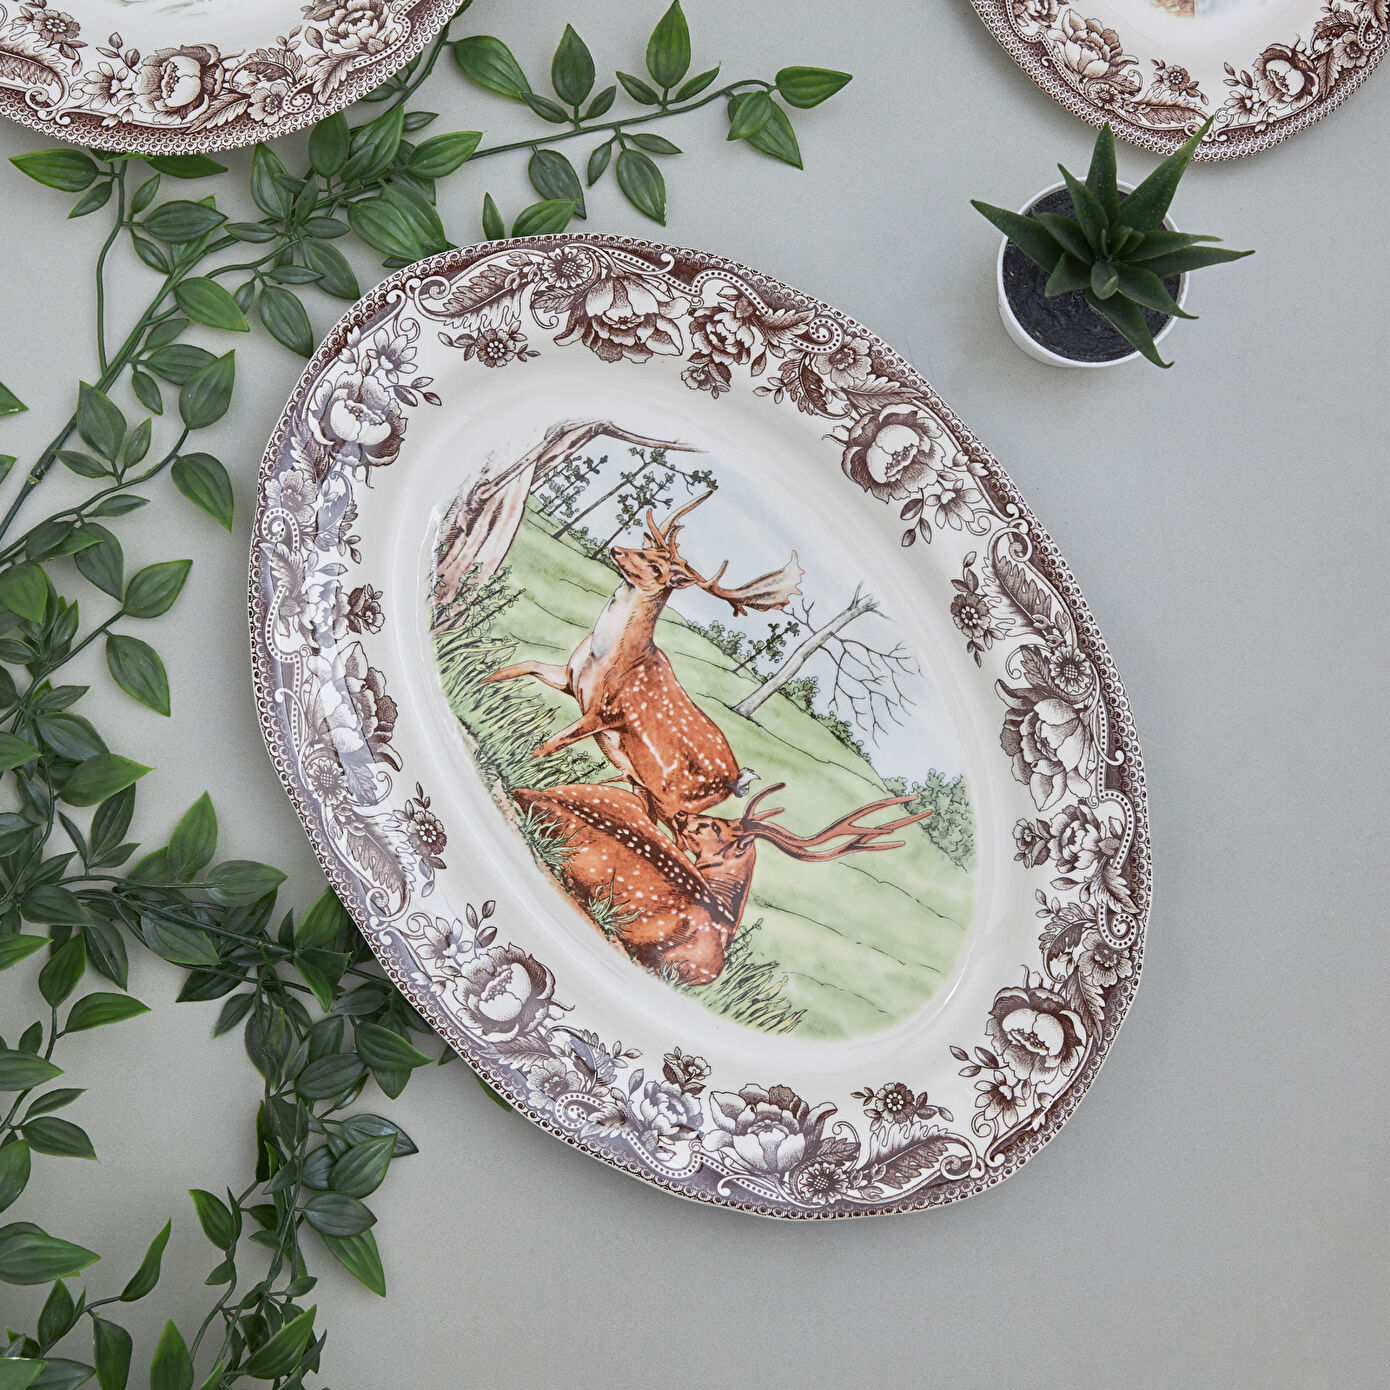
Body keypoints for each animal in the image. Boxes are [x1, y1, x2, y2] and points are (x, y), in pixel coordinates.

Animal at [486, 492, 804, 848]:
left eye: (655, 567)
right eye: (649, 549)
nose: (618, 550)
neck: (609, 658)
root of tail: (735, 781)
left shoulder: (605, 712)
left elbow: (547, 746)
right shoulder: (570, 679)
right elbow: (523, 665)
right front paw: (480, 678)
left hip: (674, 802)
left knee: (684, 843)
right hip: (645, 788)